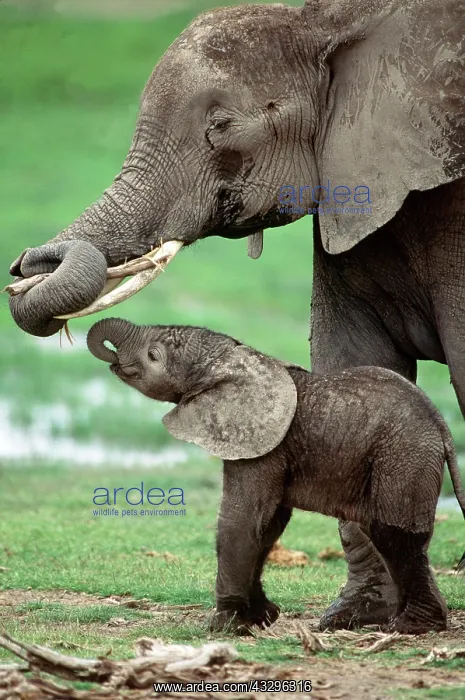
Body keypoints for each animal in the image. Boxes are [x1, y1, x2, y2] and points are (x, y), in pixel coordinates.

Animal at [86, 317, 465, 635]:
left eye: (153, 355)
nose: (114, 359)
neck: (230, 358)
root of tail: (443, 429)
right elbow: (267, 524)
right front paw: (262, 618)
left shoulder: (263, 445)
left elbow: (242, 518)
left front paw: (225, 627)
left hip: (403, 456)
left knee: (392, 534)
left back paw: (411, 627)